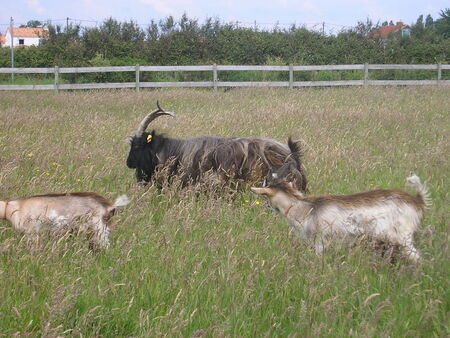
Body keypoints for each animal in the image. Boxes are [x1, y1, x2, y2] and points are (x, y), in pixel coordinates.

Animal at [251, 174, 430, 262]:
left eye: (266, 196)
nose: (268, 208)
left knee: (417, 258)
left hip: (403, 237)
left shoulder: (321, 239)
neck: (306, 209)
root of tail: (417, 200)